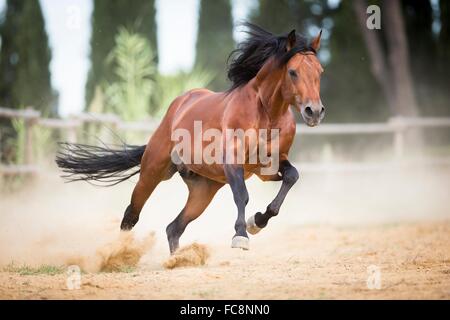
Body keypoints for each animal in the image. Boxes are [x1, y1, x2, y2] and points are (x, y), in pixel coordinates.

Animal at [56, 23, 326, 254]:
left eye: (320, 72)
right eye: (292, 72)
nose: (314, 111)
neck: (266, 114)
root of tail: (177, 106)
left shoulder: (267, 166)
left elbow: (291, 176)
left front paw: (257, 221)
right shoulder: (233, 162)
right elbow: (243, 195)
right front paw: (241, 235)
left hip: (203, 191)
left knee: (174, 228)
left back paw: (178, 260)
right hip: (152, 173)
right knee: (132, 214)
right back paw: (120, 254)